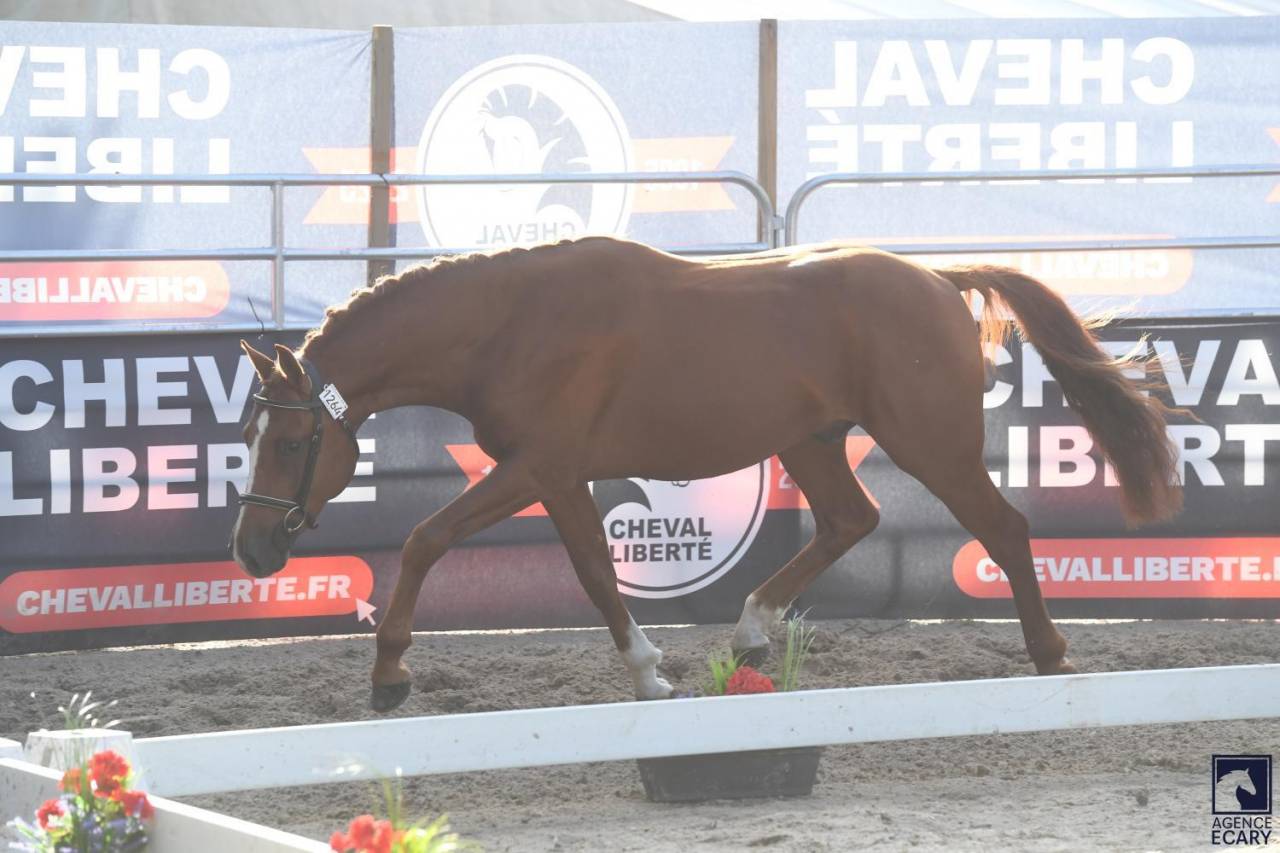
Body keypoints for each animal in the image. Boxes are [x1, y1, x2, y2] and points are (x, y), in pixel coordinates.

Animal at [229, 236, 1182, 712]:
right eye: (248, 434)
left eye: (292, 442)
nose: (251, 550)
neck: (510, 324)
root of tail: (935, 277)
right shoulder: (559, 477)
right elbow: (593, 570)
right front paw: (651, 670)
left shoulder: (539, 466)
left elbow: (430, 539)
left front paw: (390, 675)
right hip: (812, 441)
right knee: (852, 520)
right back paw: (753, 626)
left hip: (929, 442)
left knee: (1004, 527)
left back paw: (1051, 654)